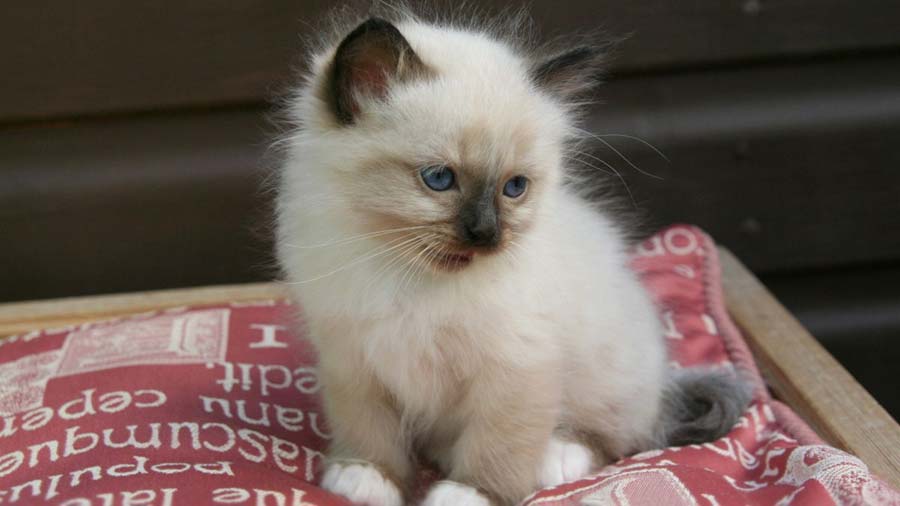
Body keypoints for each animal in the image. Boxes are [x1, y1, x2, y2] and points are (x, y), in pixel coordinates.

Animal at [276, 7, 752, 506]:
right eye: (439, 179)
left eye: (514, 187)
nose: (486, 233)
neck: (411, 276)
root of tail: (666, 382)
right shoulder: (352, 360)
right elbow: (369, 431)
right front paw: (367, 477)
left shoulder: (517, 365)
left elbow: (498, 443)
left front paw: (468, 493)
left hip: (609, 376)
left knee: (618, 438)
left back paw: (556, 458)